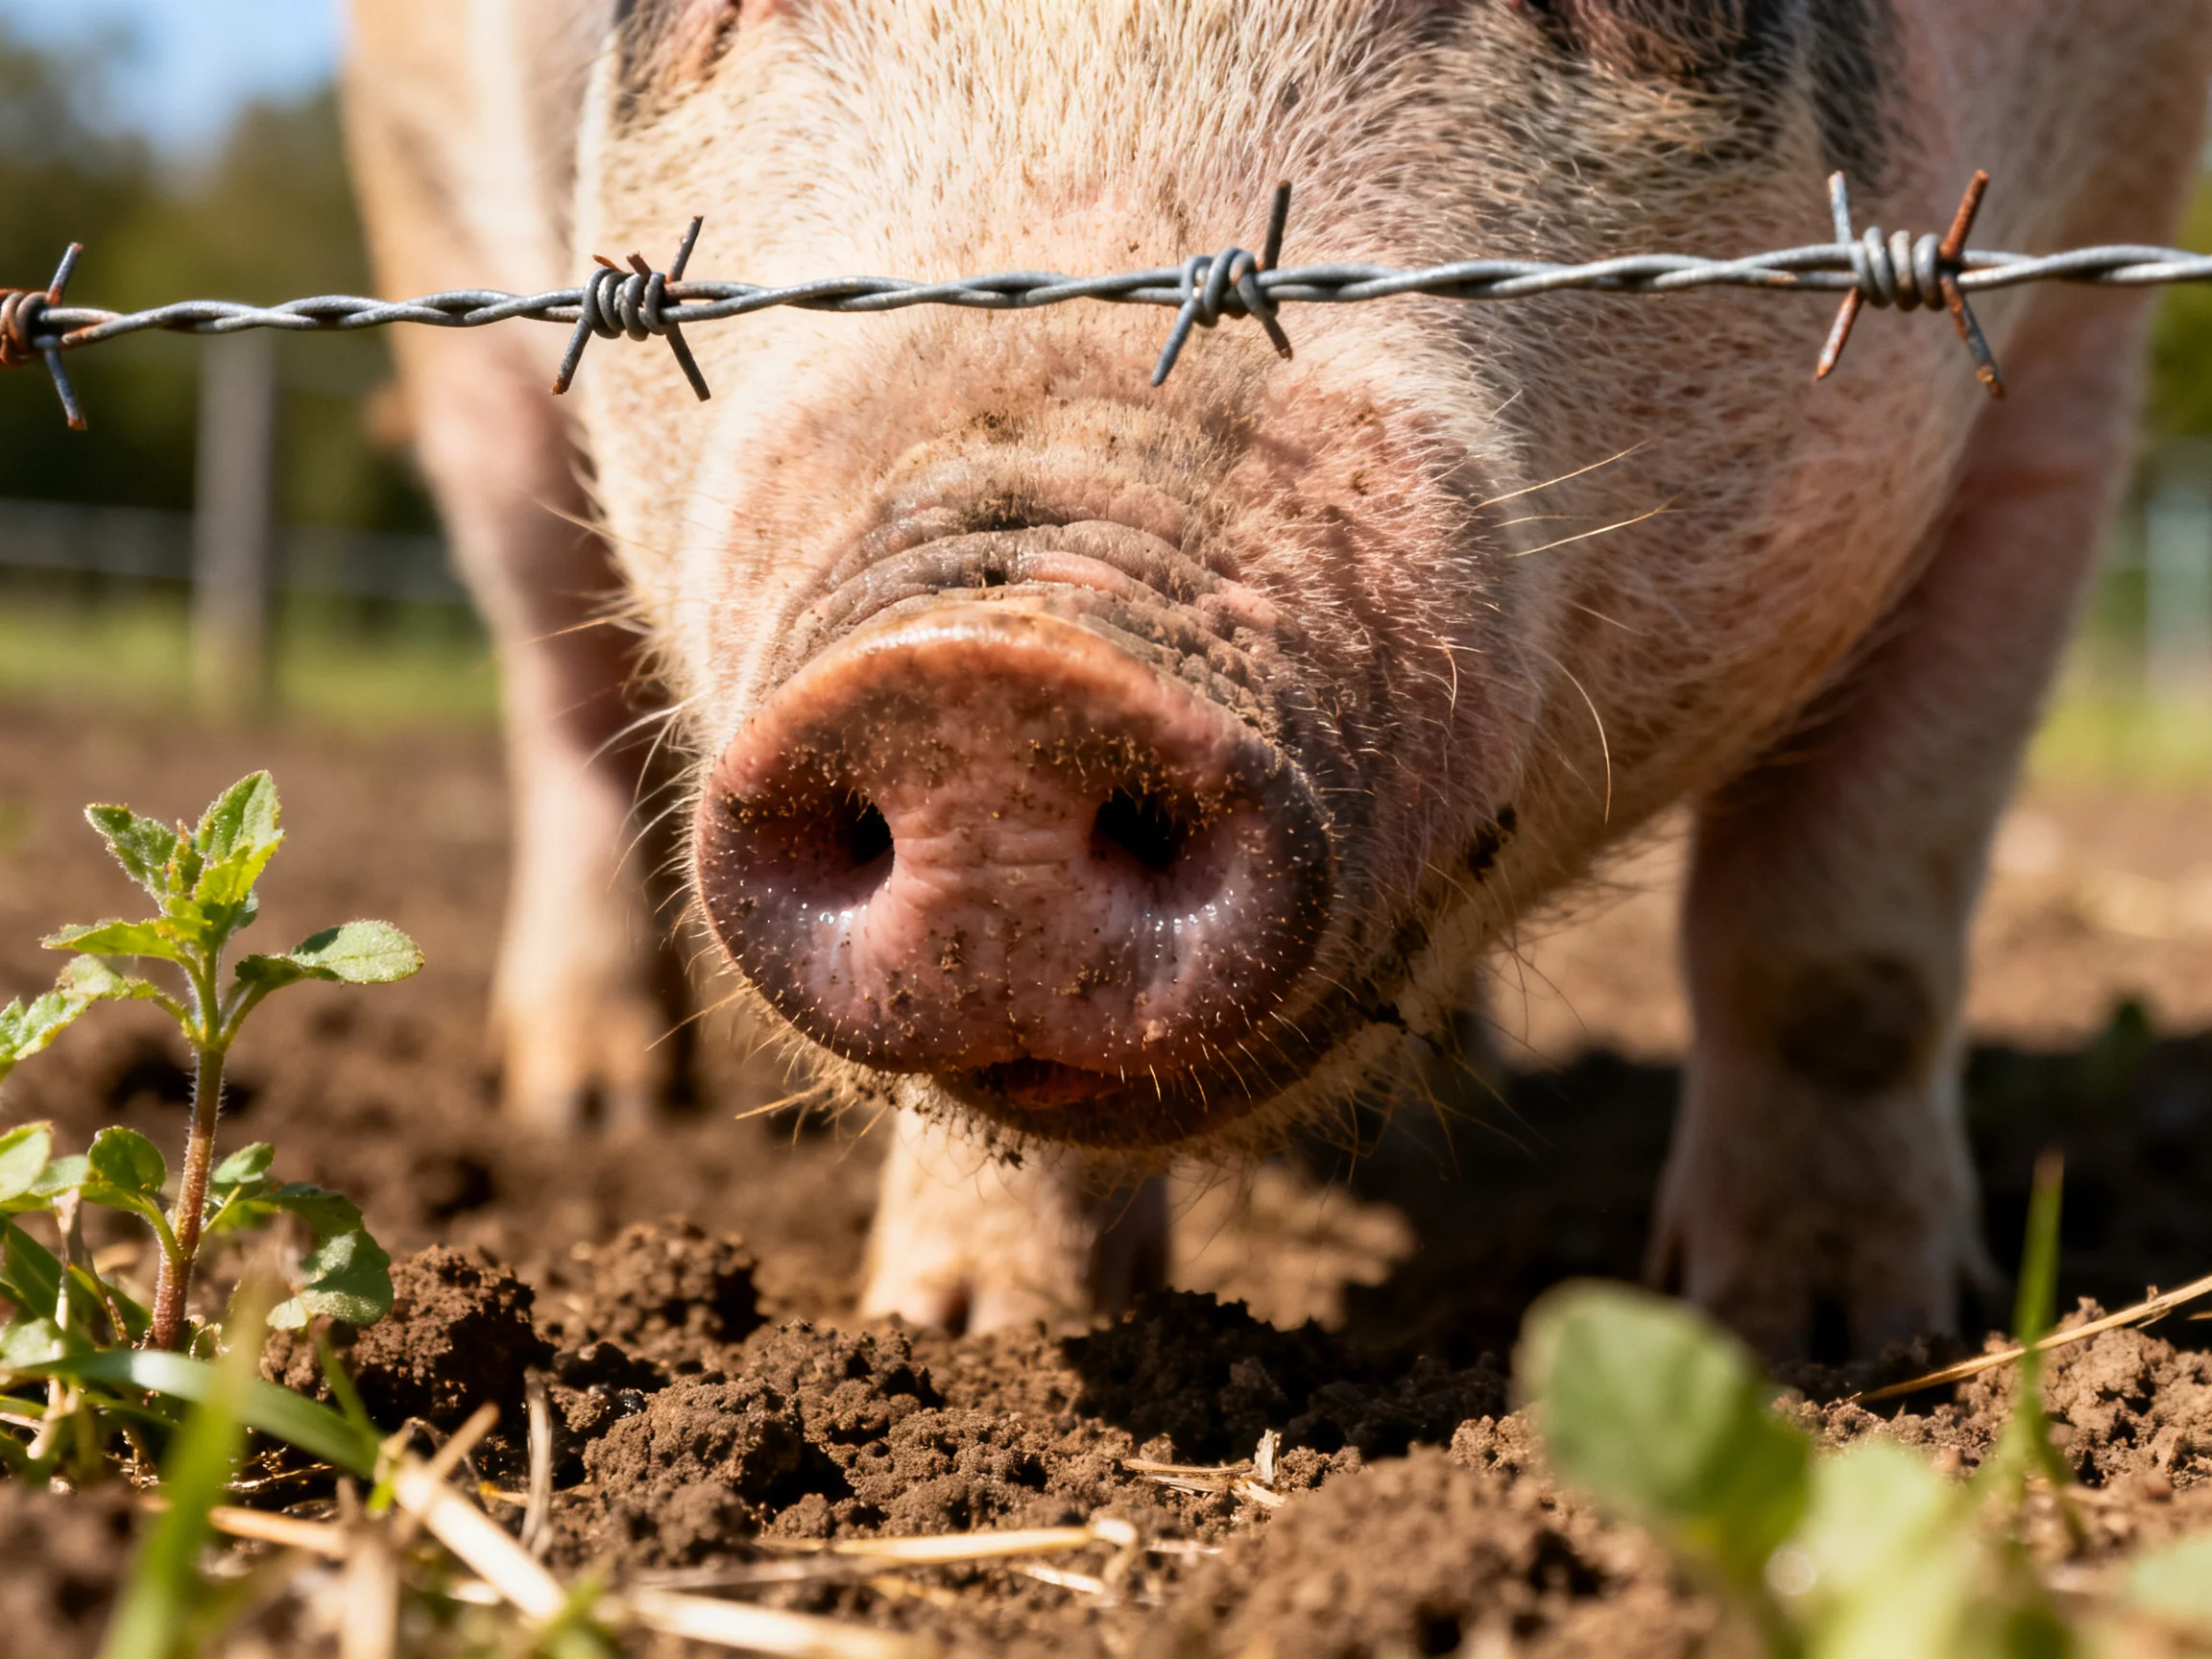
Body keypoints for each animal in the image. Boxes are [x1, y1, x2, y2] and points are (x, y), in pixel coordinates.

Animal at [343, 0, 2210, 1357]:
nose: (984, 680)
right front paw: (971, 1342)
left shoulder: (2064, 342)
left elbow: (1836, 940)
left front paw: (1832, 1338)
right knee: (561, 689)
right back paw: (585, 1105)